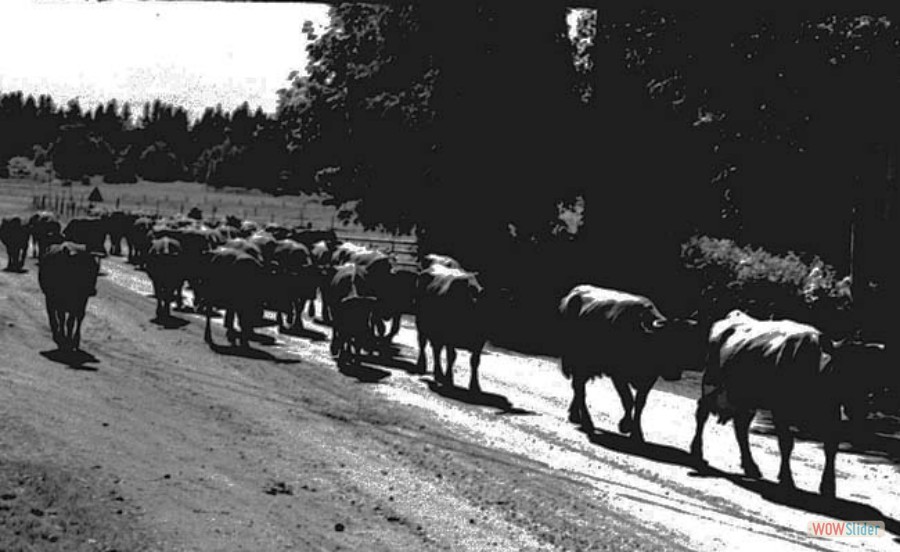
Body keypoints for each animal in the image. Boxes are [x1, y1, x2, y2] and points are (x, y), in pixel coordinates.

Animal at [556, 286, 704, 442]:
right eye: (664, 342)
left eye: (685, 345)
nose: (674, 375)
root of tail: (573, 294)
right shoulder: (618, 375)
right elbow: (628, 400)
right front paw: (625, 425)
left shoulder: (649, 379)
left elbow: (639, 403)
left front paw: (637, 433)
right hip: (577, 362)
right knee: (579, 389)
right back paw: (587, 422)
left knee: (578, 387)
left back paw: (575, 415)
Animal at [692, 310, 884, 500]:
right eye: (841, 368)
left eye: (870, 373)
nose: (859, 406)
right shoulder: (780, 410)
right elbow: (786, 444)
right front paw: (786, 480)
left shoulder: (832, 413)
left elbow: (830, 447)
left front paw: (828, 487)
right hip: (711, 383)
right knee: (702, 413)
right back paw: (697, 453)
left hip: (745, 400)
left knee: (741, 427)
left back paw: (751, 467)